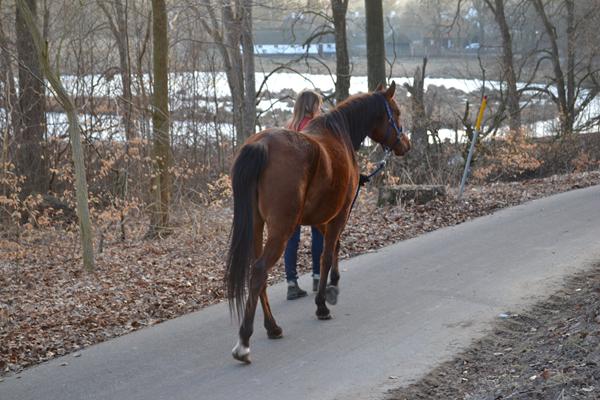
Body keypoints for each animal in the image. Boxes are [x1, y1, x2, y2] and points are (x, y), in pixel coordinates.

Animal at [227, 81, 410, 362]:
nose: (405, 144)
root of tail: (261, 145)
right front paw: (323, 302)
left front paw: (332, 285)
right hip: (281, 230)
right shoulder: (339, 213)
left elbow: (332, 248)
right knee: (259, 271)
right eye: (396, 112)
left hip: (258, 226)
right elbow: (326, 254)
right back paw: (244, 342)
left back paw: (272, 327)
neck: (339, 135)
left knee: (256, 273)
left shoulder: (320, 218)